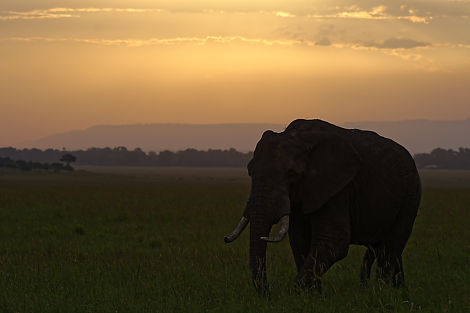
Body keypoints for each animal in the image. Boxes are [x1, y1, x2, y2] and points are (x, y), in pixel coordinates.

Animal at [222, 118, 420, 294]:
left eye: (292, 175)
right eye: (250, 172)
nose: (268, 295)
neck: (298, 138)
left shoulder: (337, 188)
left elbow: (334, 240)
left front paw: (297, 294)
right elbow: (300, 240)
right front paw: (313, 296)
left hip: (411, 195)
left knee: (389, 248)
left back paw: (383, 292)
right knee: (385, 250)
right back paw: (397, 291)